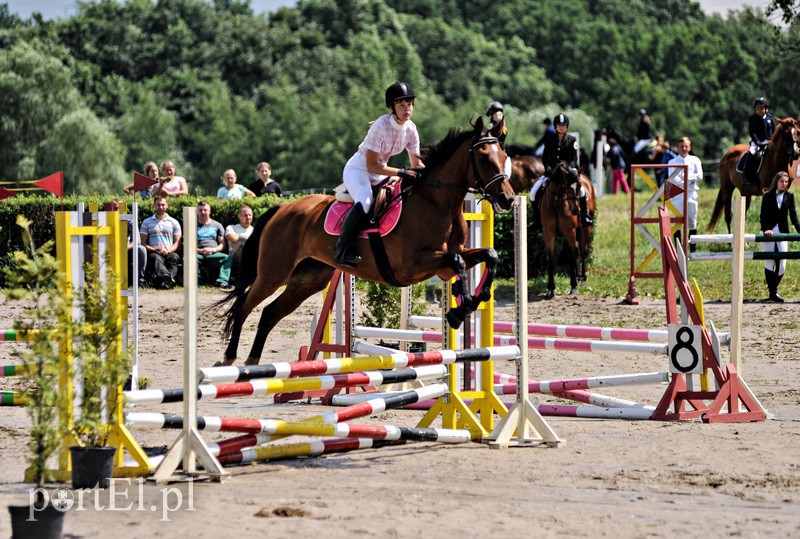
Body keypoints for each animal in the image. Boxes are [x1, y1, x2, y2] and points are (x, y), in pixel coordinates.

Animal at [216, 117, 516, 362]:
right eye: (484, 158)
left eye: (504, 156)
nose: (508, 199)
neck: (436, 202)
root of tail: (283, 207)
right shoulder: (412, 266)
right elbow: (457, 262)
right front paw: (460, 307)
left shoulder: (446, 262)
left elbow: (488, 255)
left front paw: (470, 302)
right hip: (273, 273)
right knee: (244, 307)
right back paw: (229, 358)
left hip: (308, 279)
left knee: (268, 313)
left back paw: (252, 361)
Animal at [540, 163, 596, 300]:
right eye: (566, 185)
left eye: (579, 186)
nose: (576, 210)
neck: (556, 204)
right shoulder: (548, 233)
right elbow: (551, 260)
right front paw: (550, 289)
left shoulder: (570, 231)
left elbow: (571, 258)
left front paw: (574, 287)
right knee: (577, 249)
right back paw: (577, 275)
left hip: (586, 228)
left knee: (583, 250)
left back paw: (582, 279)